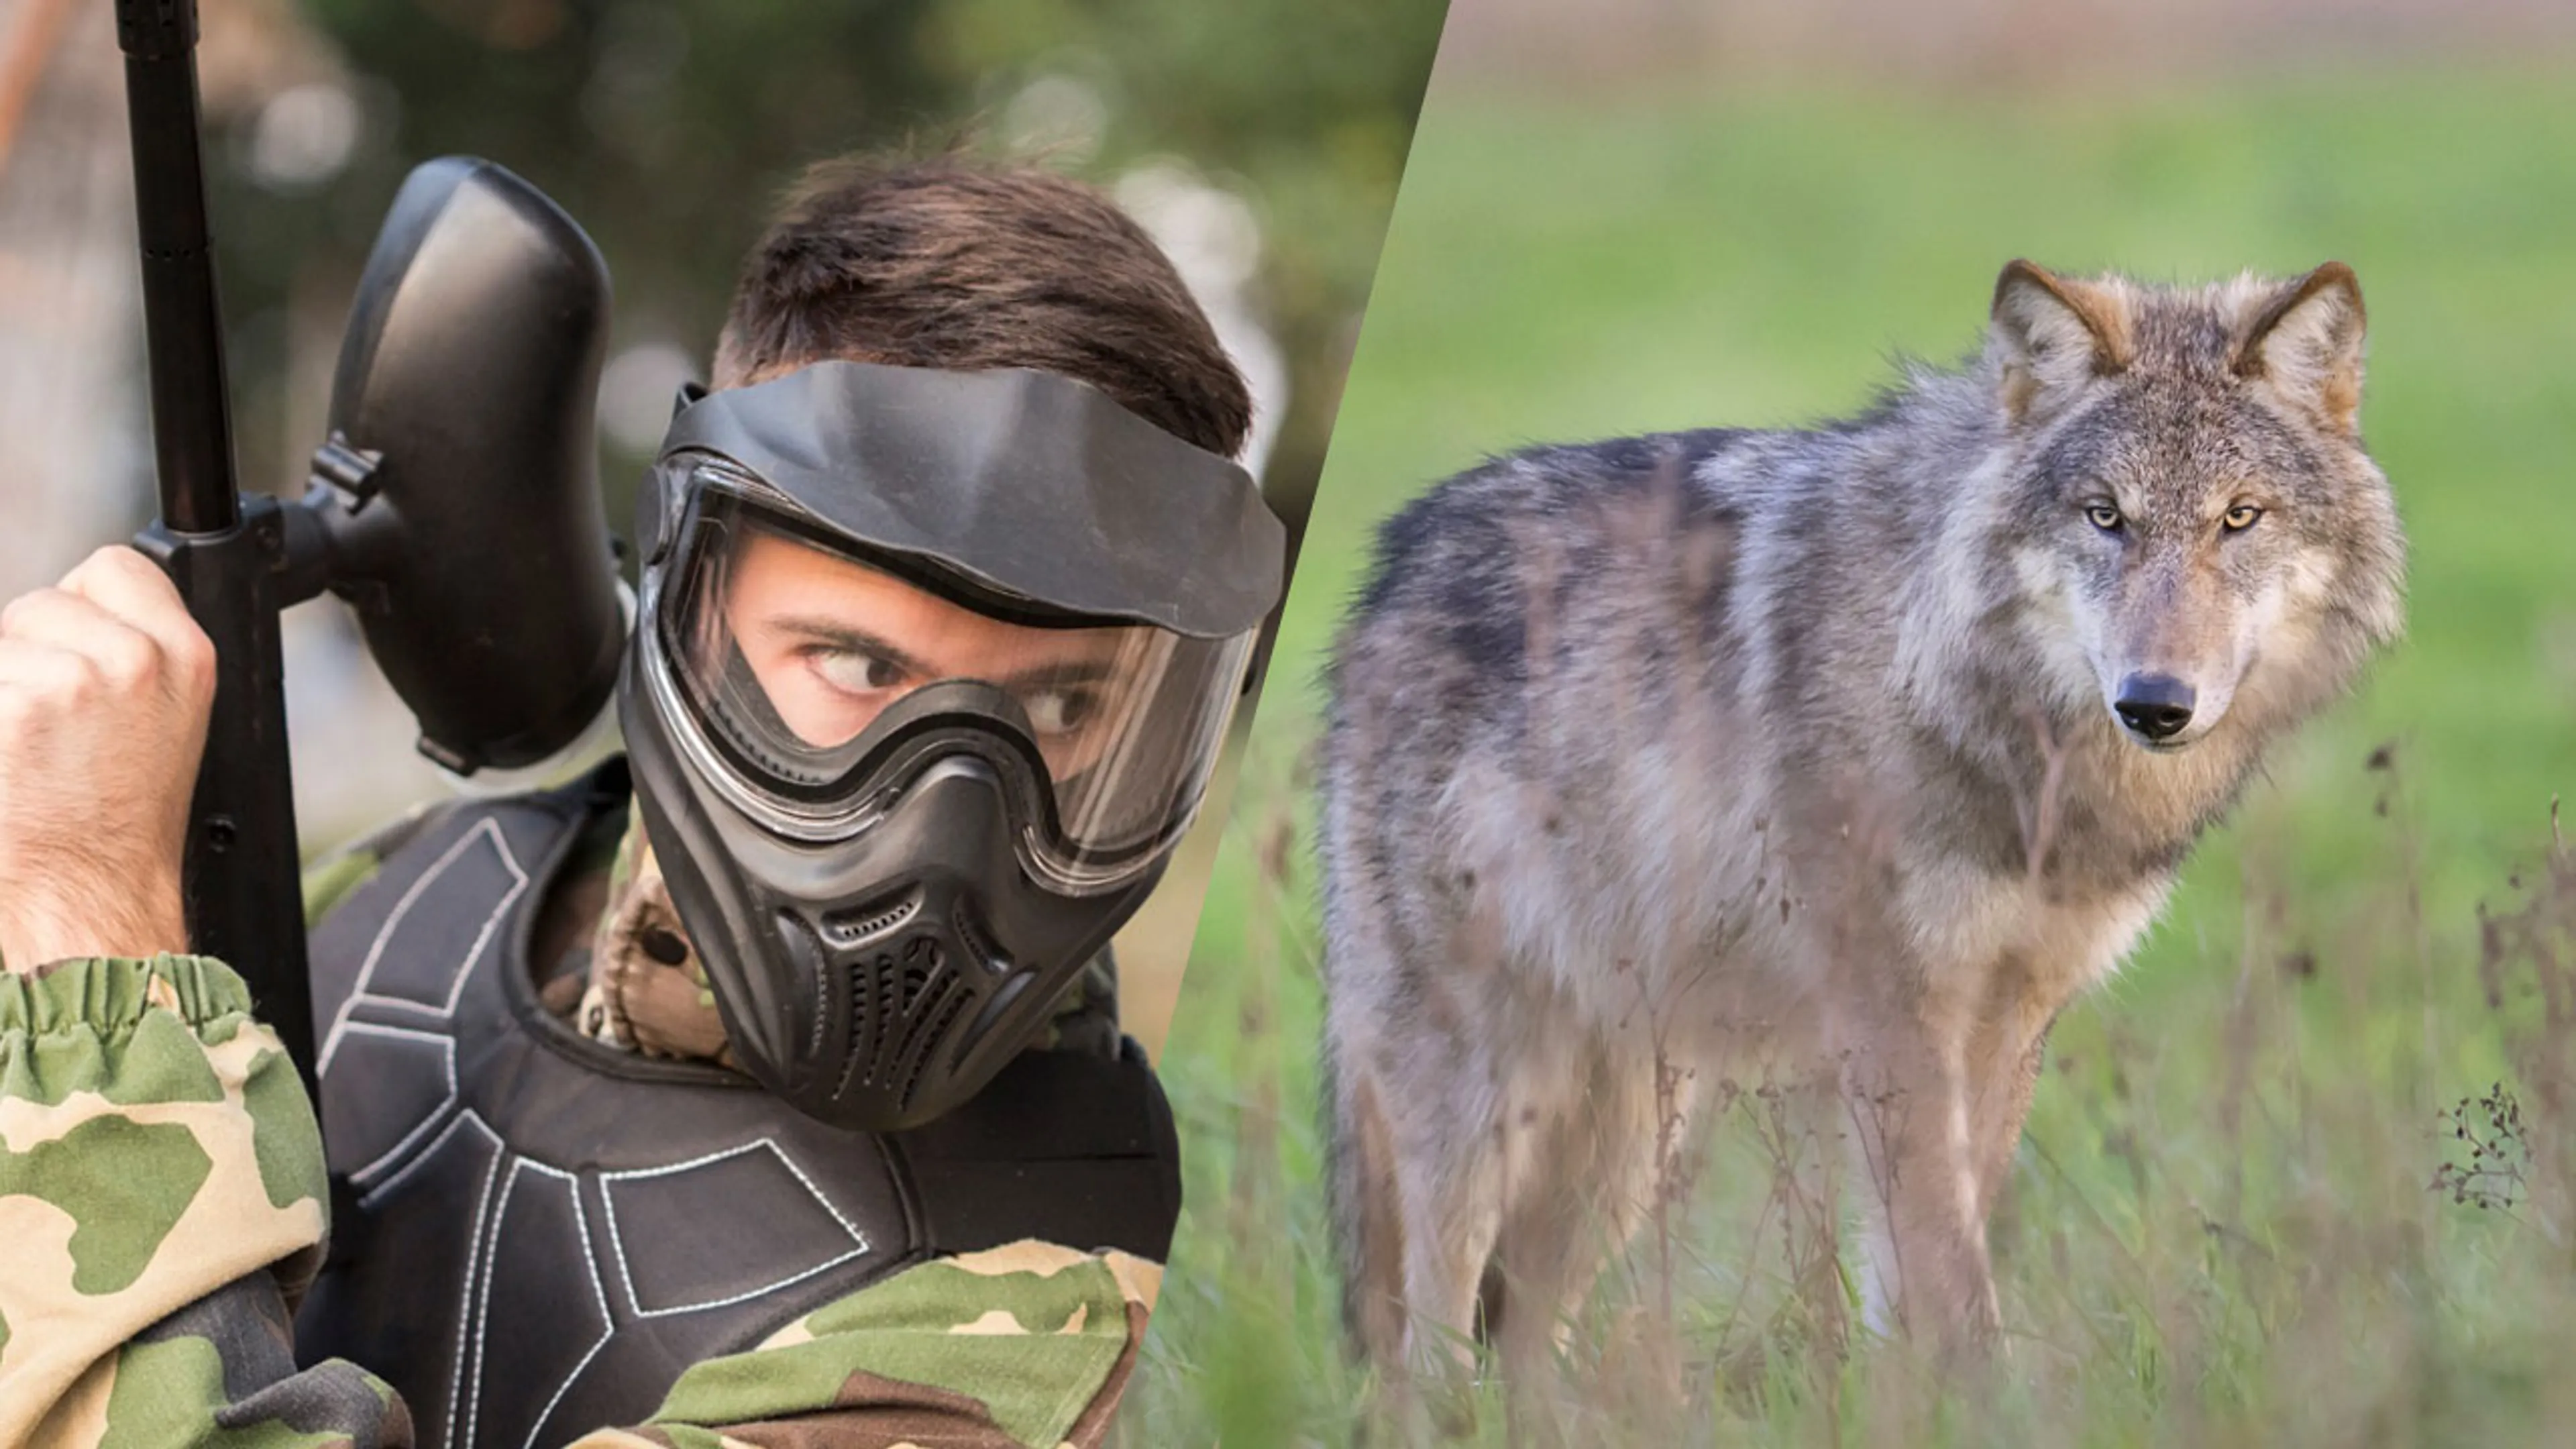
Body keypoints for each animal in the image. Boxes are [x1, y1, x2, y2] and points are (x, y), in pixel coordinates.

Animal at [1317, 260, 2405, 1398]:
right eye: (2106, 516)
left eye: (2241, 518)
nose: (2155, 703)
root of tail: (1390, 576)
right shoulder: (1891, 1008)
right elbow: (1942, 1256)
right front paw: (1971, 1402)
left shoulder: (2009, 1016)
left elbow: (1929, 1252)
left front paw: (1918, 1402)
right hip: (1482, 1093)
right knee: (1425, 1339)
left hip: (1627, 1138)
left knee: (1523, 1343)